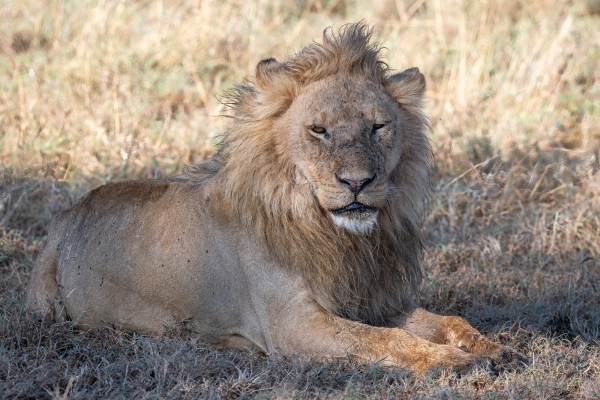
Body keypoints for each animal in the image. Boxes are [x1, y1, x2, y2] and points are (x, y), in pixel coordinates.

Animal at [27, 24, 524, 376]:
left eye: (378, 126)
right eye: (318, 130)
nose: (358, 182)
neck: (341, 238)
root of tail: (68, 213)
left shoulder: (375, 301)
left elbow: (449, 321)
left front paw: (496, 349)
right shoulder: (293, 325)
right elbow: (384, 341)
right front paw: (458, 363)